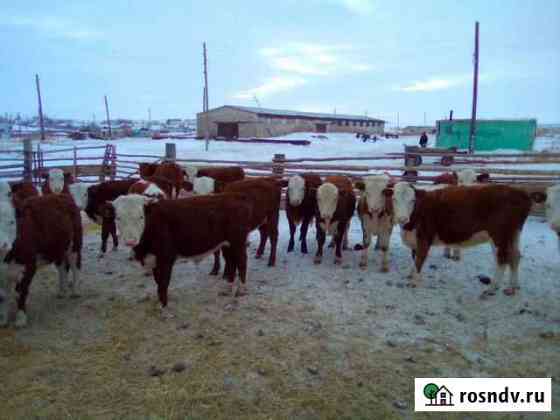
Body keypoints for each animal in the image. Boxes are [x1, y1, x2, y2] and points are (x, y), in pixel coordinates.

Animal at [2, 194, 82, 328]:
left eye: (12, 221)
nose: (3, 244)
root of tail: (61, 196)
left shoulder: (29, 265)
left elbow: (21, 291)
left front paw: (20, 319)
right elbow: (2, 295)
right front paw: (2, 320)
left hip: (74, 245)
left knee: (75, 265)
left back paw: (75, 291)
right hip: (57, 248)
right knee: (62, 267)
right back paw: (62, 291)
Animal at [392, 183, 544, 296]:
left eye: (412, 200)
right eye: (394, 199)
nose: (402, 218)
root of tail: (521, 192)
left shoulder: (424, 237)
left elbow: (419, 259)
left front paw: (414, 282)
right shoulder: (414, 240)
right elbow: (414, 258)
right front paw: (411, 275)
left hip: (499, 235)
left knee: (502, 259)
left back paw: (492, 288)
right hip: (514, 234)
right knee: (515, 256)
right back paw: (513, 287)